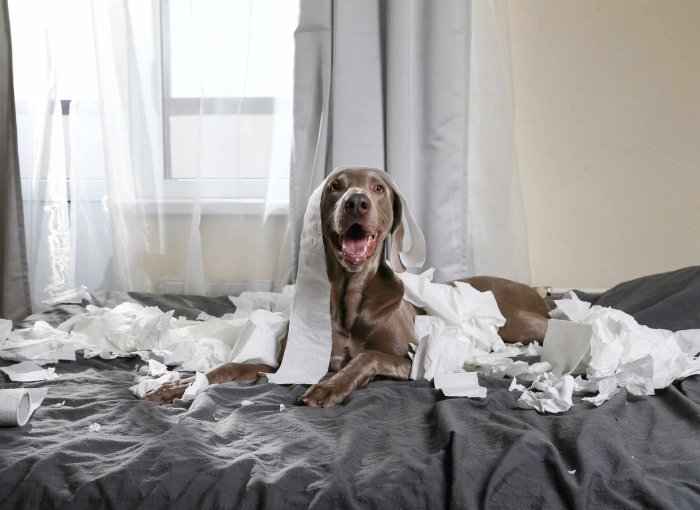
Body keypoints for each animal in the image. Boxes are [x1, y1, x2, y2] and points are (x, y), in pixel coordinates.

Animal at [146, 169, 552, 408]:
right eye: (335, 186)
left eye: (378, 188)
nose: (356, 201)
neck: (348, 298)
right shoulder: (285, 363)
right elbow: (230, 366)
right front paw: (178, 385)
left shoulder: (414, 360)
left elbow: (366, 355)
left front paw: (328, 388)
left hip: (519, 322)